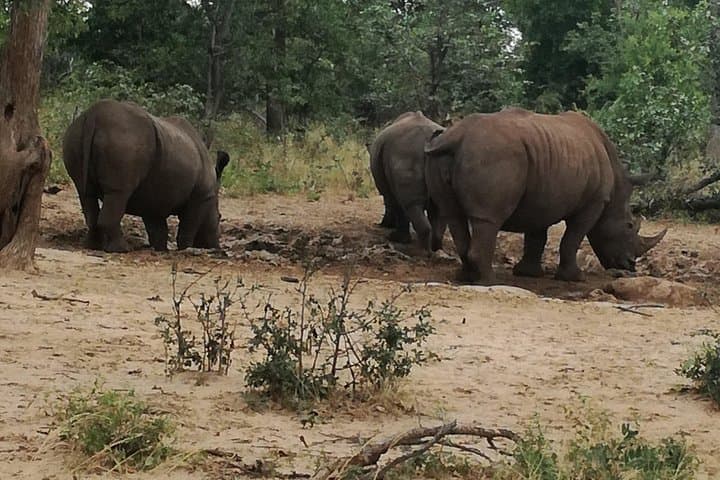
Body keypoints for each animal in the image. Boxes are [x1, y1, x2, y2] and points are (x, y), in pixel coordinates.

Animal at [62, 99, 229, 252]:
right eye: (219, 217)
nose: (216, 247)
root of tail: (93, 115)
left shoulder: (154, 198)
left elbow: (157, 228)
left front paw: (161, 249)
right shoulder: (202, 196)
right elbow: (189, 226)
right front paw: (185, 249)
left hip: (74, 135)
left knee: (85, 193)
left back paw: (92, 247)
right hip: (125, 139)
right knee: (118, 193)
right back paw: (122, 249)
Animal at [369, 111, 446, 251]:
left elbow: (393, 205)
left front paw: (392, 232)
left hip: (404, 154)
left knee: (409, 205)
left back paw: (418, 248)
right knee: (441, 207)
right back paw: (435, 248)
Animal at [424, 107, 666, 283]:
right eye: (629, 226)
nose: (631, 266)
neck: (616, 190)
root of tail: (455, 136)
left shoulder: (542, 192)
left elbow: (537, 235)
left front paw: (528, 273)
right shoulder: (594, 202)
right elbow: (572, 238)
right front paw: (574, 278)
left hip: (453, 157)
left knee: (452, 214)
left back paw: (465, 277)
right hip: (493, 153)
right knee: (488, 219)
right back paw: (488, 282)